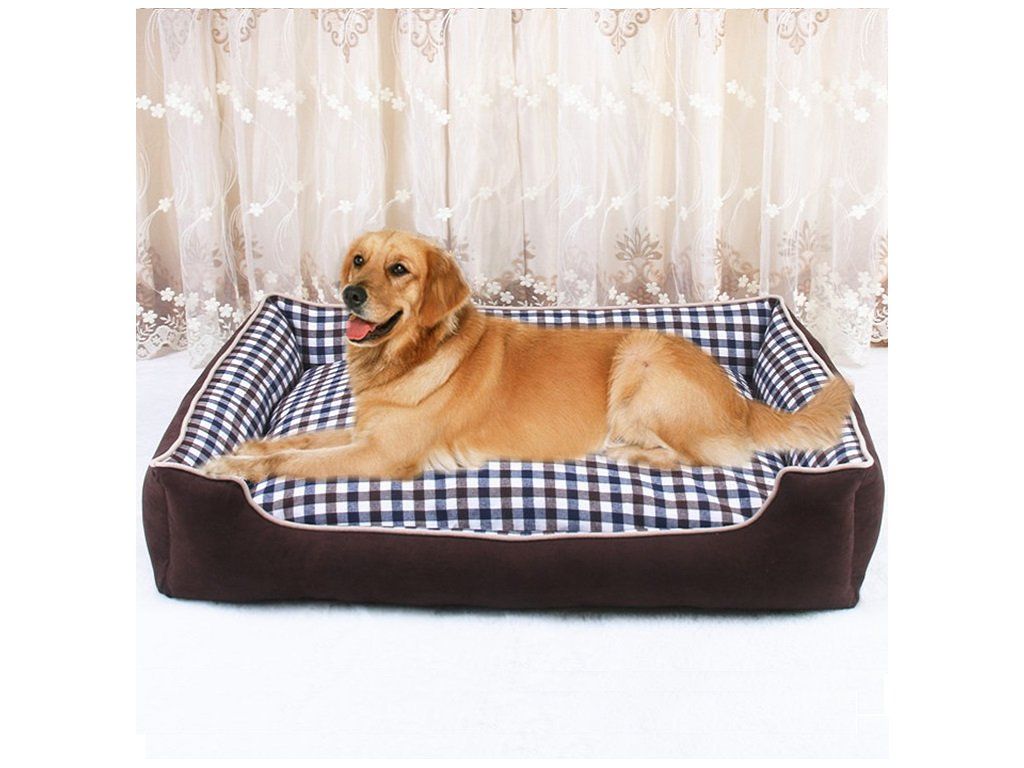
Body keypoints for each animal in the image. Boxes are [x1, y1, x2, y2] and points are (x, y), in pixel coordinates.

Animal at [203, 229, 851, 481]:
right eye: (360, 260)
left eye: (399, 269)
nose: (350, 294)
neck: (409, 356)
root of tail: (739, 400)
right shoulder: (366, 431)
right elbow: (298, 440)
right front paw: (245, 449)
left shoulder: (383, 455)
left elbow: (296, 462)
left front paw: (235, 467)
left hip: (640, 358)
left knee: (708, 458)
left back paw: (632, 455)